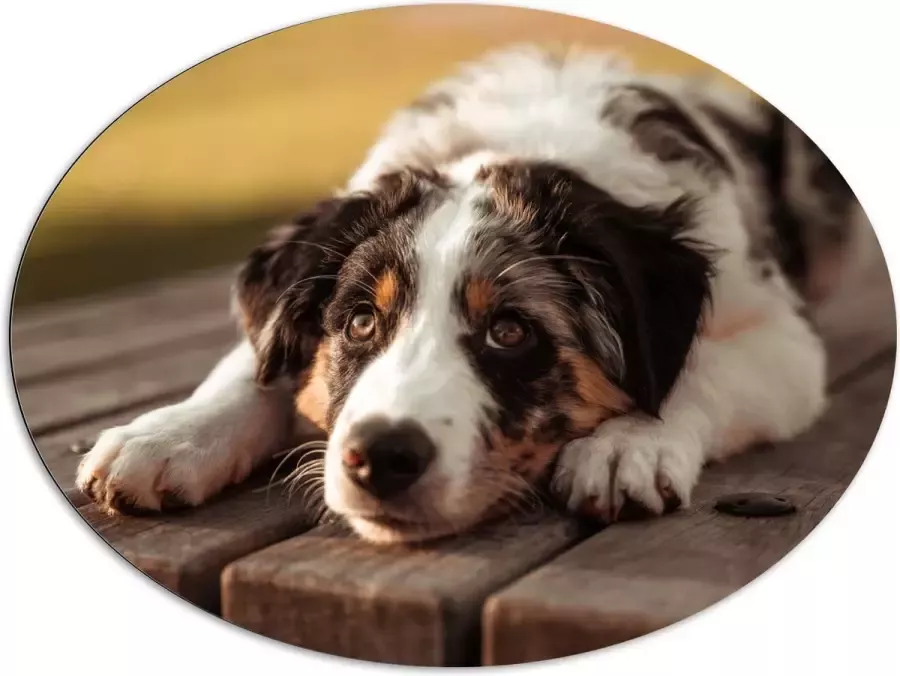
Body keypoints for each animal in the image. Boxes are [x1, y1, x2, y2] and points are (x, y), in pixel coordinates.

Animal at [77, 46, 872, 544]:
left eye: (510, 331)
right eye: (359, 322)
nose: (380, 458)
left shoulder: (783, 338)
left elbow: (698, 368)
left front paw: (629, 445)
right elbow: (252, 364)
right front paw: (167, 436)